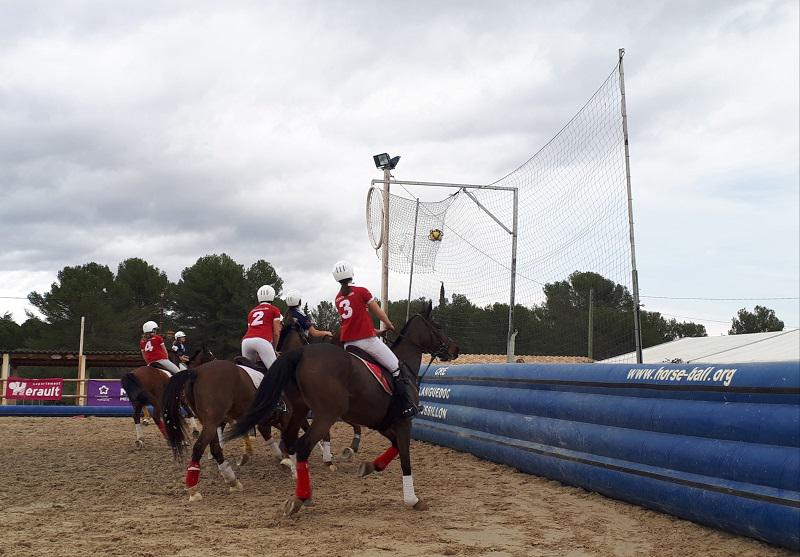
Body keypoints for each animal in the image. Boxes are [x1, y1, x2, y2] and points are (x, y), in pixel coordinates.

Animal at [228, 302, 460, 516]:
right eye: (438, 326)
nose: (455, 349)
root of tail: (301, 354)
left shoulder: (383, 423)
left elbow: (394, 446)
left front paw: (370, 467)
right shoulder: (404, 420)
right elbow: (405, 458)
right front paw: (413, 500)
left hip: (300, 410)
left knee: (289, 439)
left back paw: (297, 481)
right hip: (325, 415)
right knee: (302, 445)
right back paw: (301, 496)